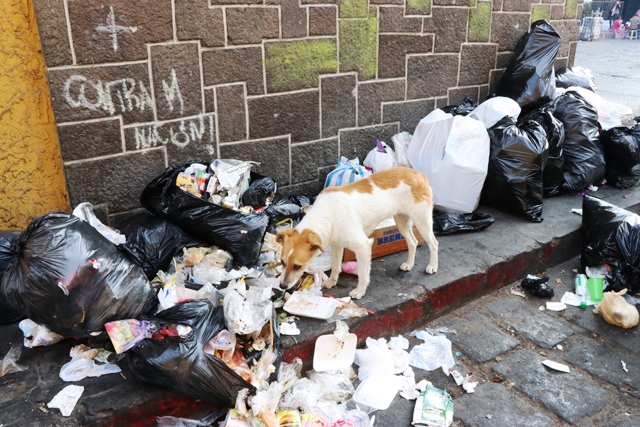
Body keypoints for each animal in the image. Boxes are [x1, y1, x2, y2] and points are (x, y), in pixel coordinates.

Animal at [278, 166, 438, 300]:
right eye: (282, 262)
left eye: (297, 266)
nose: (282, 286)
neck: (326, 215)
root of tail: (419, 174)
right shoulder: (337, 244)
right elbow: (335, 266)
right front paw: (331, 282)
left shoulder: (363, 246)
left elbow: (362, 274)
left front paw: (359, 292)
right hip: (401, 221)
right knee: (413, 242)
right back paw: (409, 264)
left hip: (422, 221)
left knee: (434, 243)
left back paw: (432, 266)